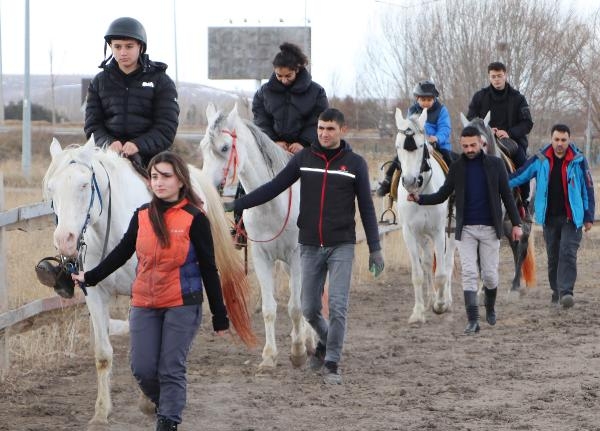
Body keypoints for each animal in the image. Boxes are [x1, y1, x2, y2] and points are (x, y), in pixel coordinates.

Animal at [42, 138, 253, 426]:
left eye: (84, 185)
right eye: (51, 188)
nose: (64, 241)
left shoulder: (139, 292)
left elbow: (145, 347)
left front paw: (148, 402)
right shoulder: (94, 293)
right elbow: (103, 353)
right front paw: (101, 412)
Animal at [200, 104, 316, 372]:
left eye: (224, 148)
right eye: (202, 147)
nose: (203, 192)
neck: (272, 203)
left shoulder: (297, 256)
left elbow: (296, 307)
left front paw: (298, 352)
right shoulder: (262, 257)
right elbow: (269, 309)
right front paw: (269, 356)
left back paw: (309, 341)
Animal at [394, 108, 454, 324]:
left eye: (420, 146)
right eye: (398, 146)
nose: (410, 181)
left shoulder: (438, 232)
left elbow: (442, 272)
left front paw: (441, 304)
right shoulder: (410, 233)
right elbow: (418, 273)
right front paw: (418, 312)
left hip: (451, 232)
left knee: (448, 262)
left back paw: (446, 299)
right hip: (423, 236)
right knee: (428, 262)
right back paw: (430, 298)